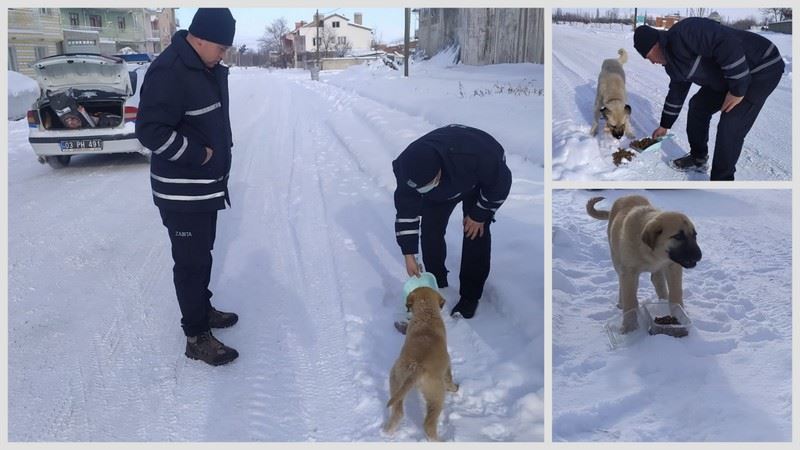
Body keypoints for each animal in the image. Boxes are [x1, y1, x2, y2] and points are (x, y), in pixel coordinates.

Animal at [384, 288, 460, 440]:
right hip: (436, 395)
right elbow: (449, 378)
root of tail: (417, 368)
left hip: (396, 380)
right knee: (428, 425)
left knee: (398, 411)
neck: (426, 313)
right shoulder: (447, 363)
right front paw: (454, 388)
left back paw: (387, 432)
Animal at [588, 197, 700, 334]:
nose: (699, 256)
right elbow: (630, 300)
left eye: (694, 235)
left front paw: (679, 314)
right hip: (617, 261)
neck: (650, 252)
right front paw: (630, 328)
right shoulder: (629, 273)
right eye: (678, 236)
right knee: (623, 283)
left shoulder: (673, 266)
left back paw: (662, 300)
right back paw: (621, 303)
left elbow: (676, 293)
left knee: (657, 280)